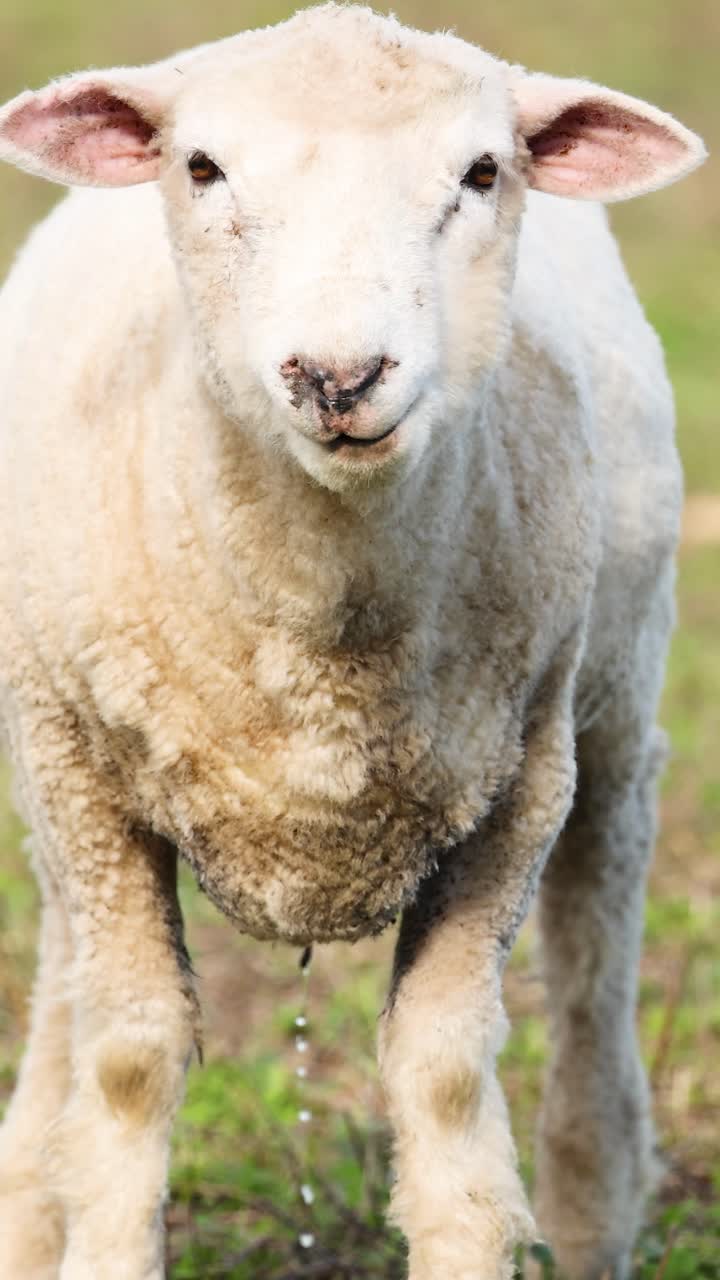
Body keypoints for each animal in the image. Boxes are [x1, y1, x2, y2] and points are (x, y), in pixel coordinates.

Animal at [0, 5, 706, 1278]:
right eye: (202, 167)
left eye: (482, 172)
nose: (338, 375)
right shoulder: (81, 773)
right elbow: (127, 1058)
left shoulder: (516, 785)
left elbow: (443, 1074)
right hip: (48, 757)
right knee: (67, 983)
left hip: (616, 705)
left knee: (594, 962)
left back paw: (593, 1203)